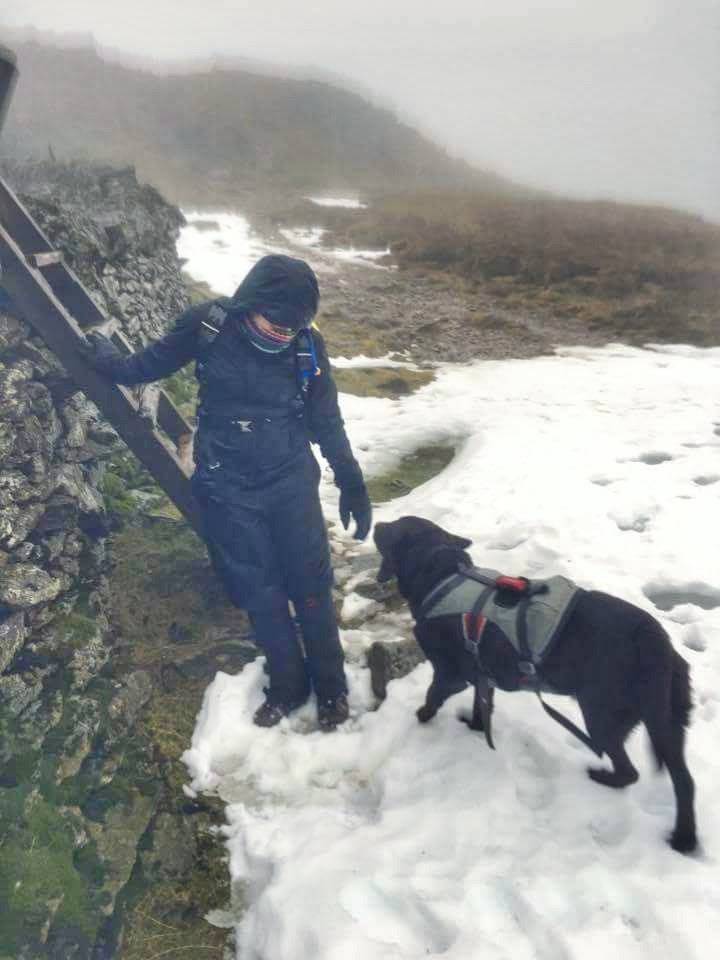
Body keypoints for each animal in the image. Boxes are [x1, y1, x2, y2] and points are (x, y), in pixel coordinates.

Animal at [376, 512, 696, 852]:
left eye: (394, 527)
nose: (376, 524)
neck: (442, 576)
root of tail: (656, 643)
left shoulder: (451, 676)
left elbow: (432, 697)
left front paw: (421, 719)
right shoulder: (482, 677)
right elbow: (481, 706)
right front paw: (475, 727)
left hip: (602, 716)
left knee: (631, 772)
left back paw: (609, 783)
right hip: (668, 723)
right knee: (683, 781)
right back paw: (685, 837)